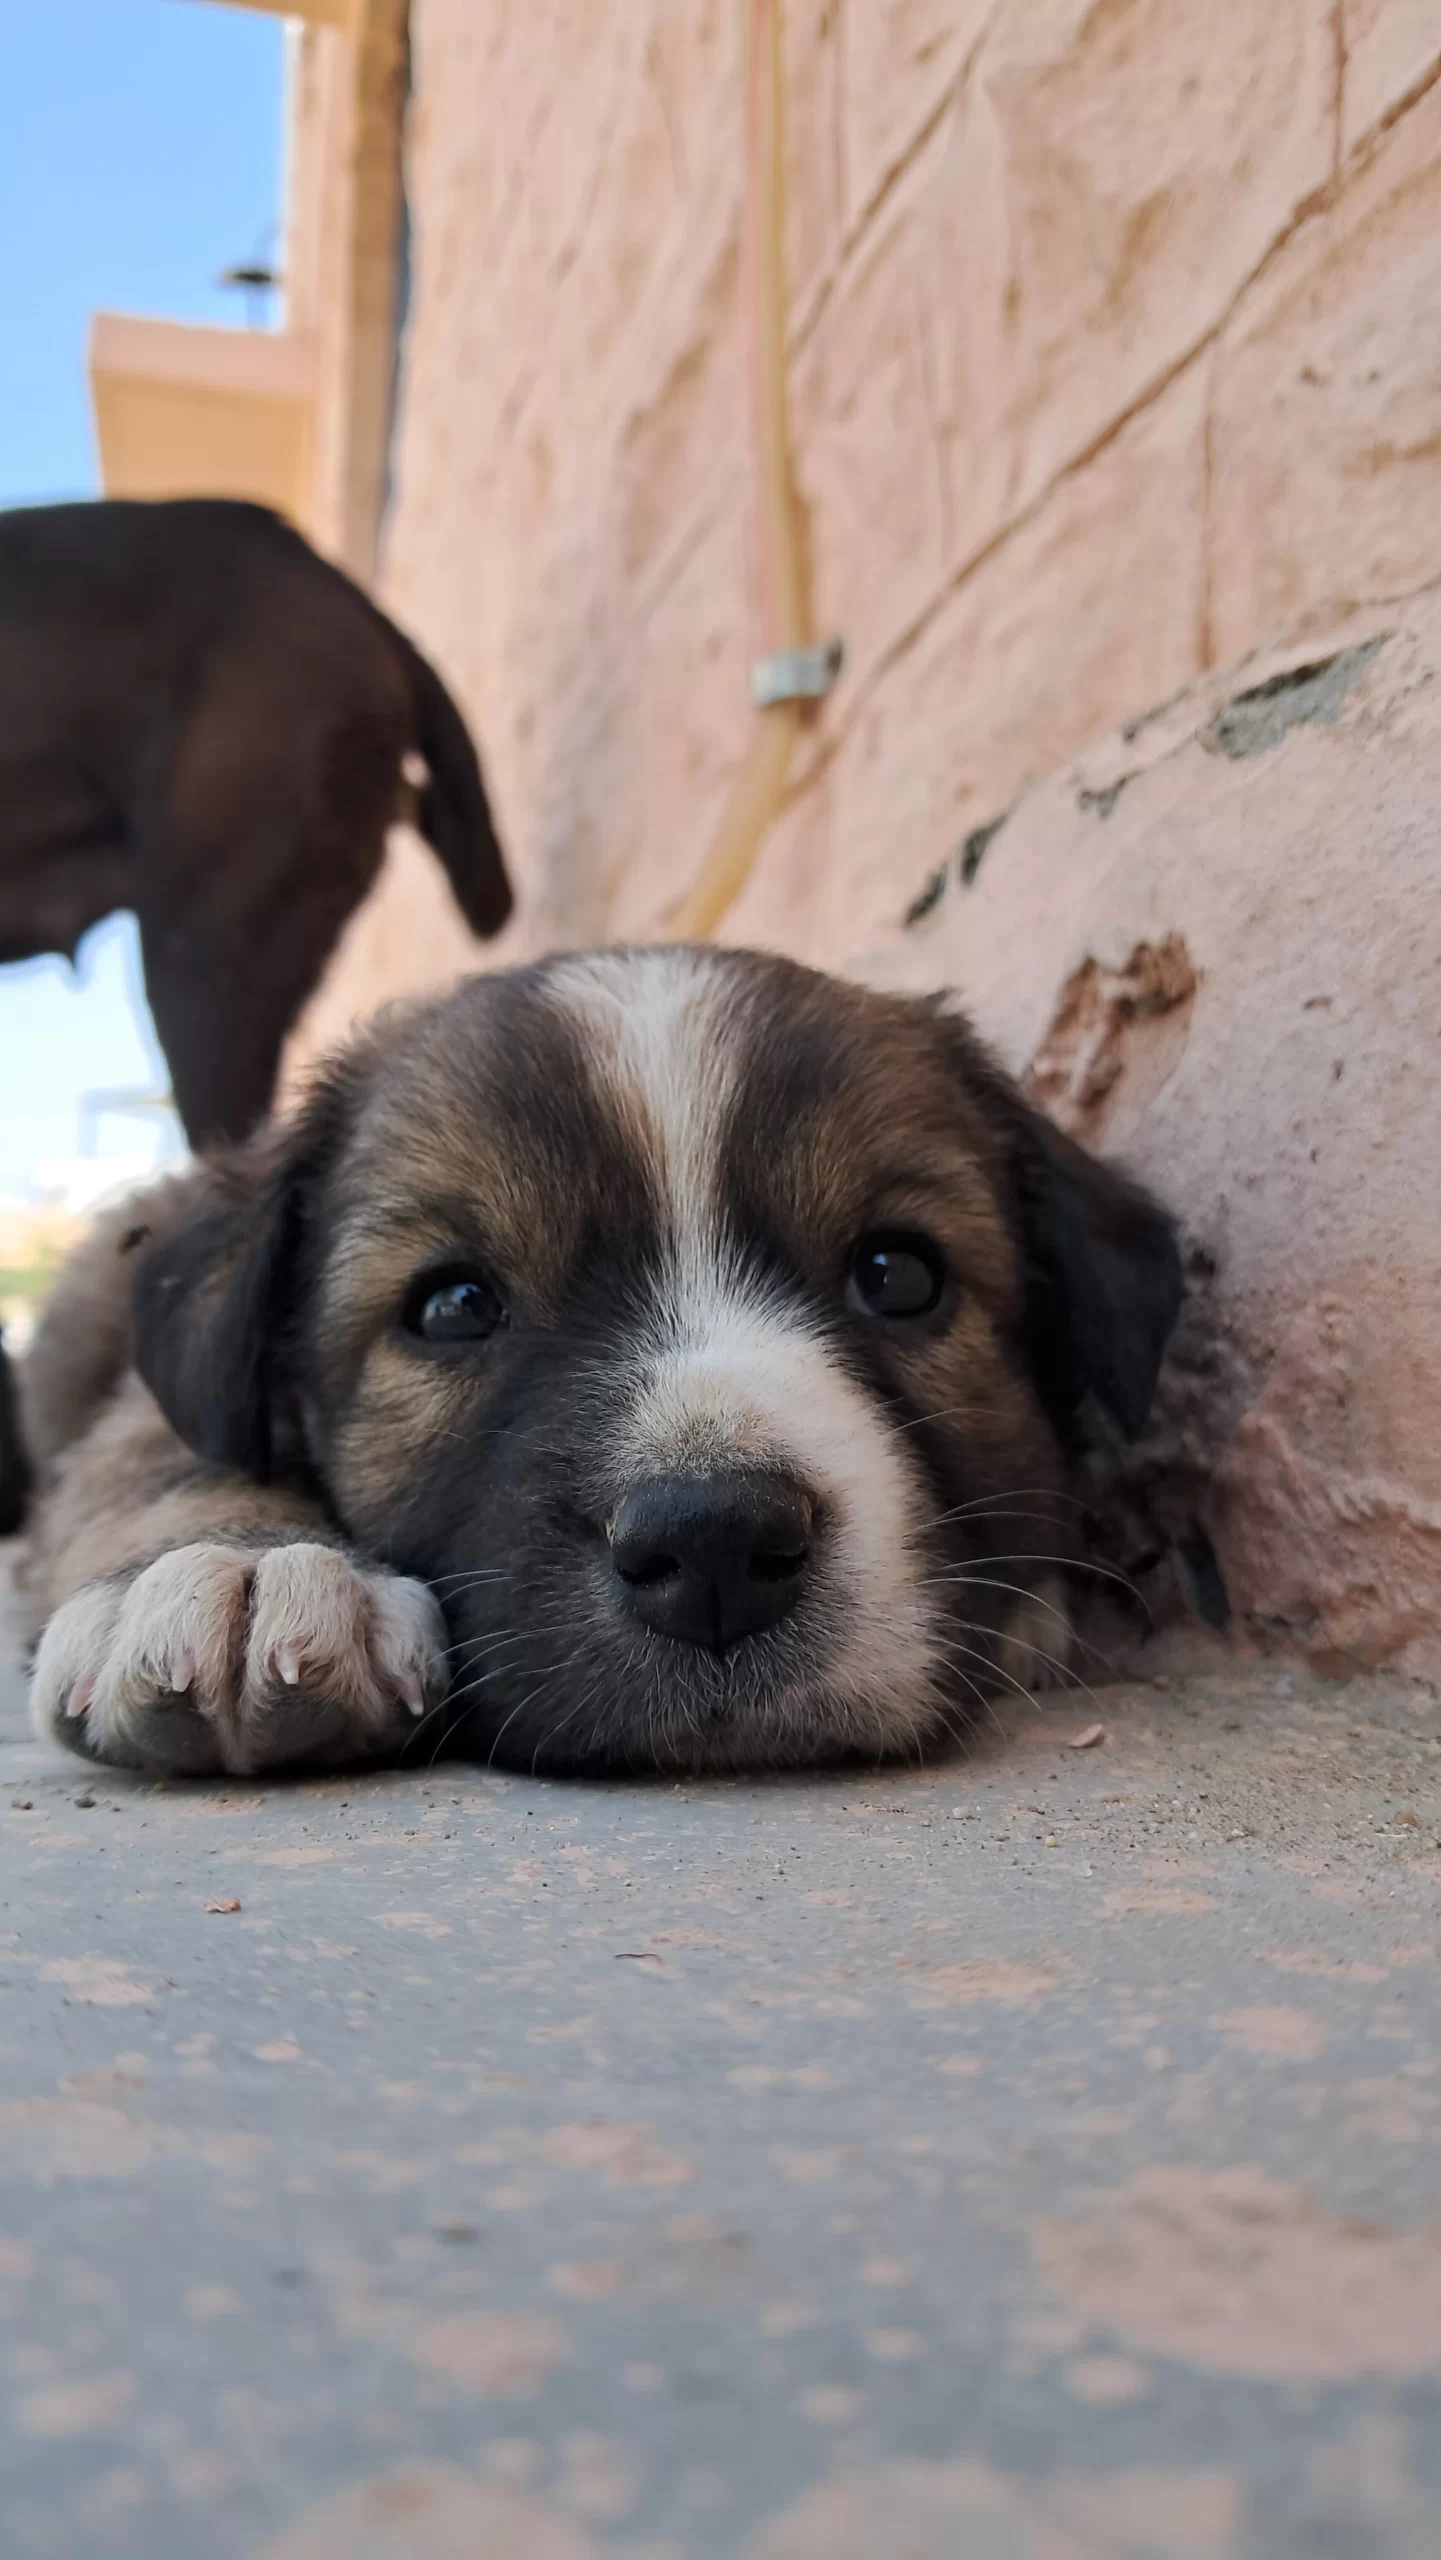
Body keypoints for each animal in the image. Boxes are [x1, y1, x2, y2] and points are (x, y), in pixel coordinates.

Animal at [19, 947, 1182, 1781]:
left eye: (898, 1275)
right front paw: (235, 1569)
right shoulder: (142, 1405)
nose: (714, 1543)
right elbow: (161, 1452)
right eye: (451, 1306)